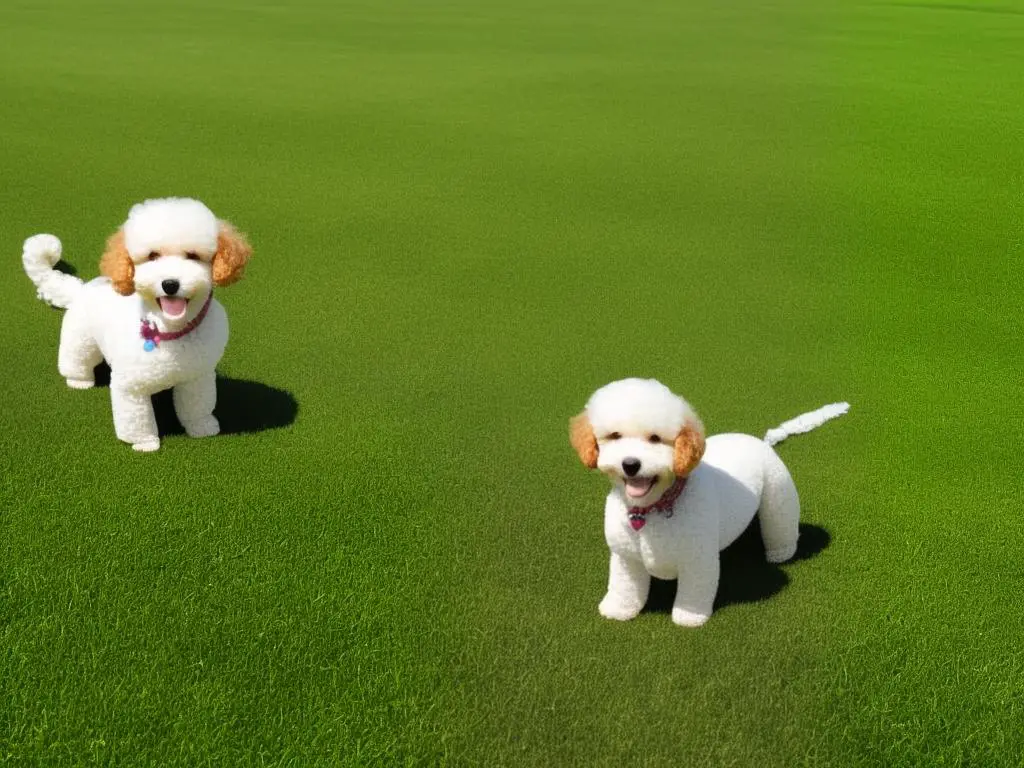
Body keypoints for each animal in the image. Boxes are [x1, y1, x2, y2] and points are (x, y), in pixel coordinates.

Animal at [23, 195, 250, 454]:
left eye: (193, 255)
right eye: (152, 256)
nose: (170, 284)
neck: (169, 331)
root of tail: (80, 288)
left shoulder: (197, 376)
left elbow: (197, 406)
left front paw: (201, 427)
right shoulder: (131, 388)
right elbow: (137, 420)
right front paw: (144, 442)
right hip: (81, 341)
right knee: (77, 360)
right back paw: (79, 381)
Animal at [569, 378, 847, 626]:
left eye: (655, 438)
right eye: (614, 436)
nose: (630, 464)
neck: (653, 509)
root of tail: (762, 441)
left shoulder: (698, 560)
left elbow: (694, 593)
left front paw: (689, 618)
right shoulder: (626, 558)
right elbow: (623, 588)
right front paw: (617, 610)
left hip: (778, 498)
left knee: (780, 528)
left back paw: (781, 552)